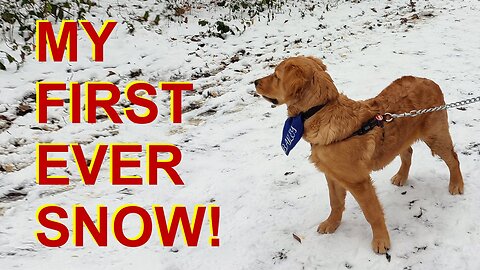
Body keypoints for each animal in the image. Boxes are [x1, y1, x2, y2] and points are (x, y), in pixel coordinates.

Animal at [253, 56, 464, 254]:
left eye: (276, 76)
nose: (255, 82)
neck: (322, 110)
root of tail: (430, 81)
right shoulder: (332, 175)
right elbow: (335, 202)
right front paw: (332, 224)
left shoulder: (358, 181)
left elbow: (372, 213)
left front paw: (381, 240)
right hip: (402, 138)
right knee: (408, 152)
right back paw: (401, 176)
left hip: (435, 136)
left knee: (453, 158)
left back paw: (456, 184)